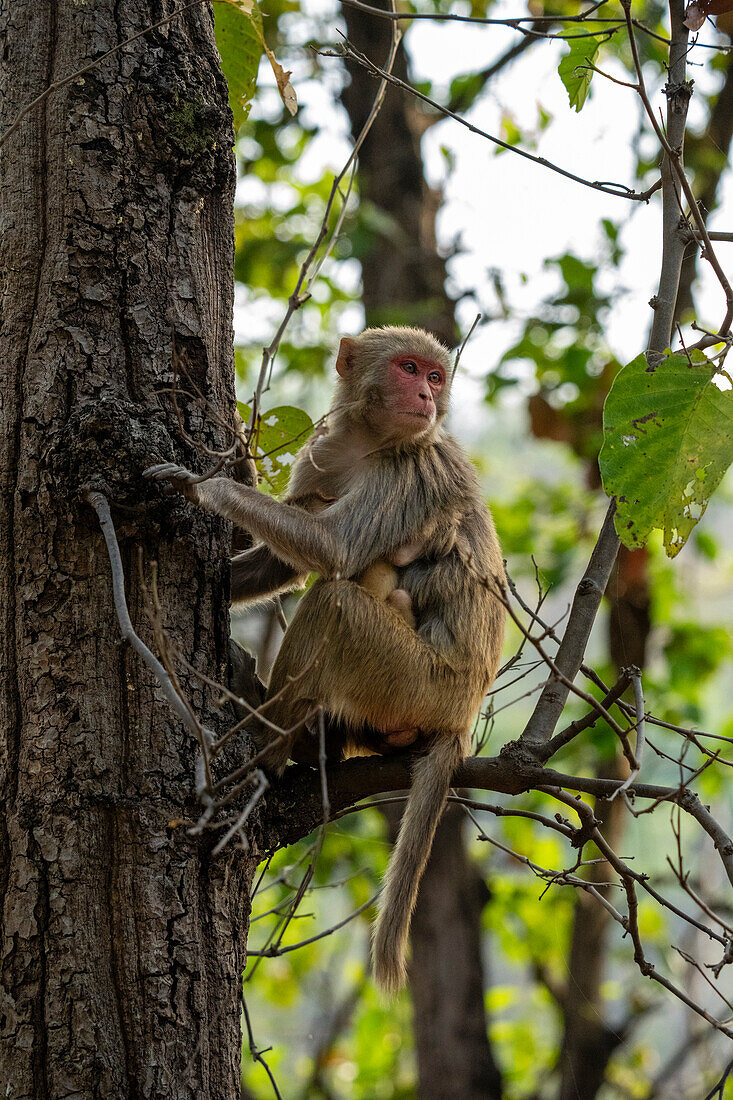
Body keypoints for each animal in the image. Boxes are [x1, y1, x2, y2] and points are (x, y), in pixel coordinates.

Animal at [146, 325, 506, 998]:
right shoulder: (324, 453)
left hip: (415, 682)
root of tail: (462, 718)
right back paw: (302, 741)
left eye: (435, 377)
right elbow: (283, 562)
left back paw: (262, 749)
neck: (371, 442)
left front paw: (204, 486)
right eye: (410, 368)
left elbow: (334, 550)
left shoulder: (410, 472)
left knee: (335, 604)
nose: (426, 395)